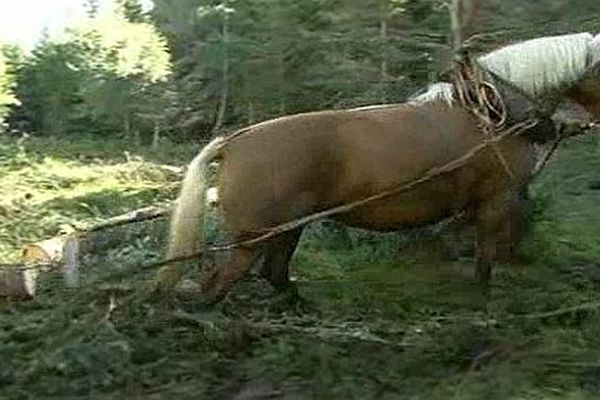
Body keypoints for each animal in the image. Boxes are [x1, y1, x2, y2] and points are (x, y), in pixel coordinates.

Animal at [159, 32, 600, 300]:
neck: (494, 111)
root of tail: (233, 142)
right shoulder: (497, 200)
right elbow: (484, 263)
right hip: (253, 238)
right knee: (217, 286)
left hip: (288, 228)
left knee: (275, 273)